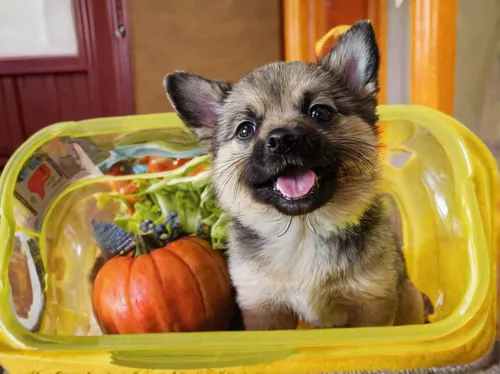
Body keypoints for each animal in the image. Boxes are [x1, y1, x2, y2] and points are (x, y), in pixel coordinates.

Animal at [164, 20, 430, 330]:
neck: (302, 231)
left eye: (320, 112)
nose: (282, 140)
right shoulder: (264, 309)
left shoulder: (371, 306)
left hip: (409, 297)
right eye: (245, 129)